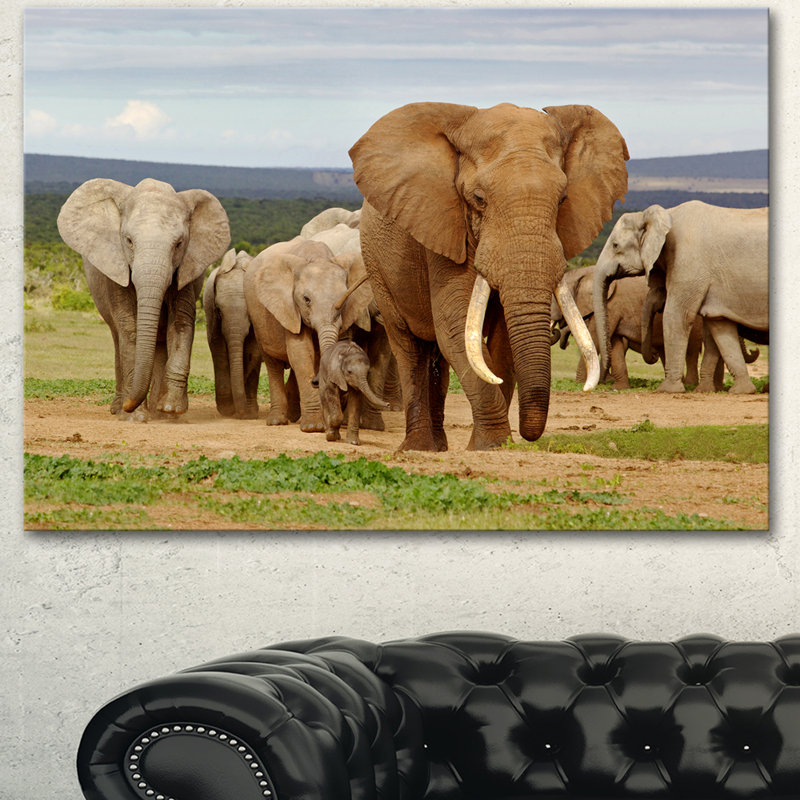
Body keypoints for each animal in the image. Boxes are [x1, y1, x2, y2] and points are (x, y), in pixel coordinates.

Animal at [57, 178, 230, 420]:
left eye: (179, 244)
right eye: (128, 241)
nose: (130, 405)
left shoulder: (187, 268)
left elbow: (180, 323)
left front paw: (171, 410)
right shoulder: (116, 266)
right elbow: (130, 328)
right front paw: (134, 416)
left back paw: (158, 413)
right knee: (117, 336)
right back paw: (121, 409)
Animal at [203, 249, 262, 419]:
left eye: (249, 312)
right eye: (219, 310)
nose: (241, 414)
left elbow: (253, 352)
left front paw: (249, 414)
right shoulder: (210, 312)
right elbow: (218, 347)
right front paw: (227, 409)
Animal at [243, 236, 373, 432]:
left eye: (344, 299)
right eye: (306, 300)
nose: (316, 382)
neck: (317, 258)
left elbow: (316, 355)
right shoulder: (290, 308)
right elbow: (301, 353)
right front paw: (314, 427)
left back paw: (292, 416)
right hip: (258, 319)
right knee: (272, 363)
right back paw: (277, 421)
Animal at [349, 101, 628, 450]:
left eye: (563, 199)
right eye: (479, 199)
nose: (528, 435)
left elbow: (501, 338)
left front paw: (494, 445)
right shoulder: (444, 226)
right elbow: (455, 323)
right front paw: (493, 445)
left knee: (436, 353)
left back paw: (439, 447)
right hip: (377, 266)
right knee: (408, 346)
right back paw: (418, 448)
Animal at [593, 202, 768, 394]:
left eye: (615, 245)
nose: (603, 383)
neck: (664, 215)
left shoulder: (688, 263)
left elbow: (676, 316)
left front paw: (667, 390)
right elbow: (720, 327)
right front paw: (739, 391)